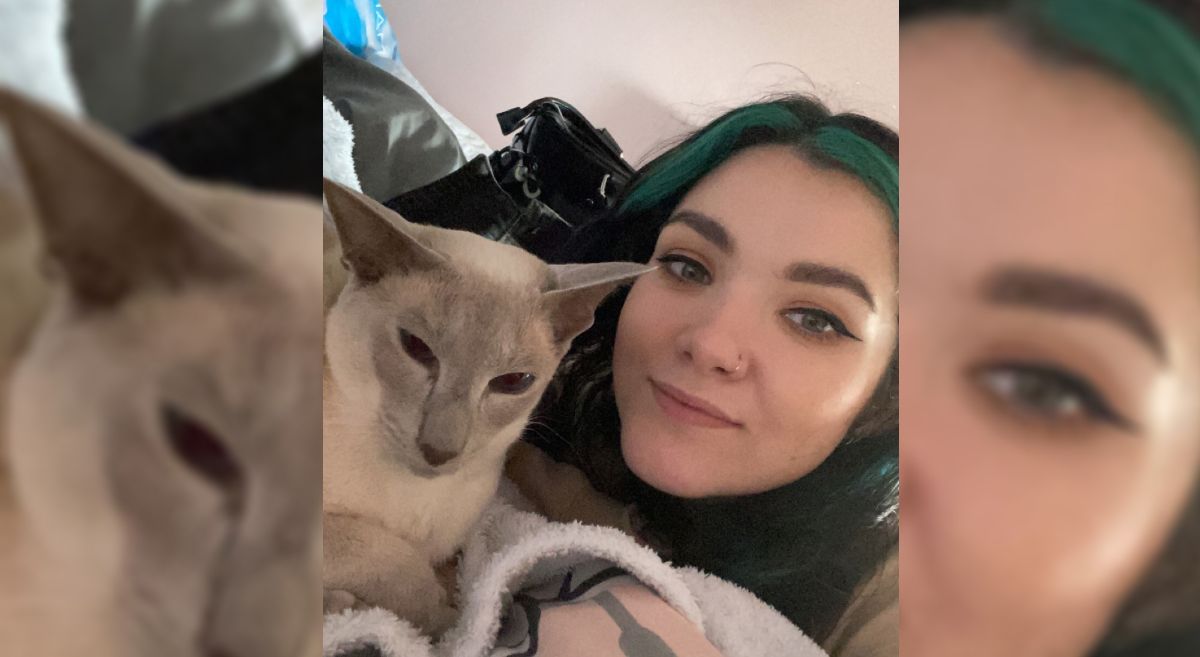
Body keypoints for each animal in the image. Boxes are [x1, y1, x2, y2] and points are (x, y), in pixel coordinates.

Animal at [324, 181, 652, 637]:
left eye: (512, 382)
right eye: (416, 348)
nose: (439, 450)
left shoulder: (504, 453)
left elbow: (552, 477)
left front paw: (632, 534)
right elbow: (389, 557)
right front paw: (448, 617)